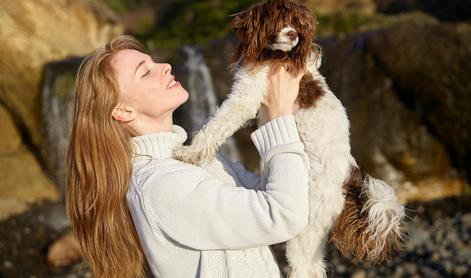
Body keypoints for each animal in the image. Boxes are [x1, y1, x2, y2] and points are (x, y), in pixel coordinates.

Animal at [173, 0, 406, 276]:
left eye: (297, 23)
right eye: (277, 18)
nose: (293, 34)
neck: (273, 53)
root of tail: (349, 179)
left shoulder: (246, 98)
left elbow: (216, 125)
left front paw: (188, 152)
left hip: (307, 226)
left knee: (307, 267)